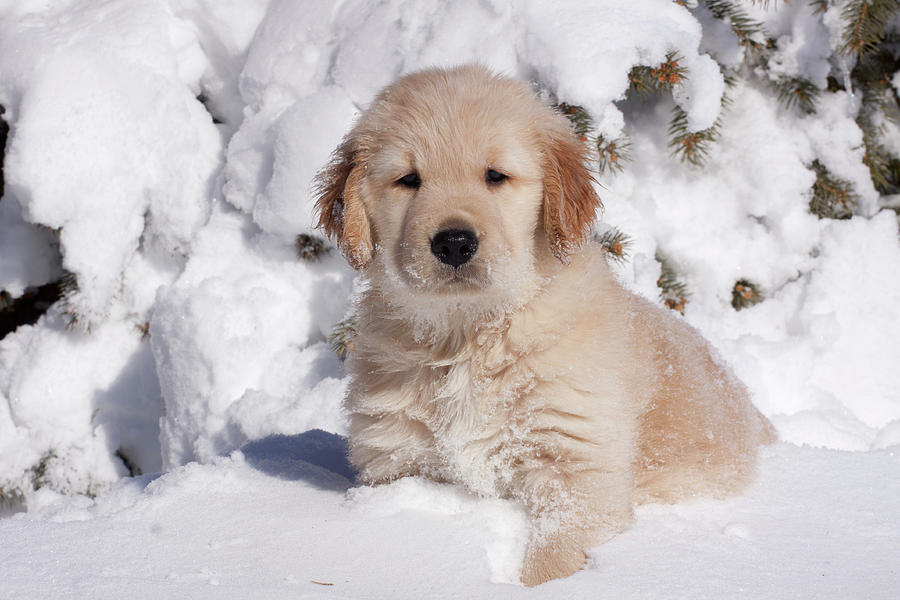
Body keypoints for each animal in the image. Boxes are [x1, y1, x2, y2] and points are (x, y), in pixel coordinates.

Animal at [314, 65, 772, 584]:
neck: (471, 336)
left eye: (496, 176)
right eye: (408, 179)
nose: (454, 243)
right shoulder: (396, 460)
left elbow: (555, 557)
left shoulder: (578, 469)